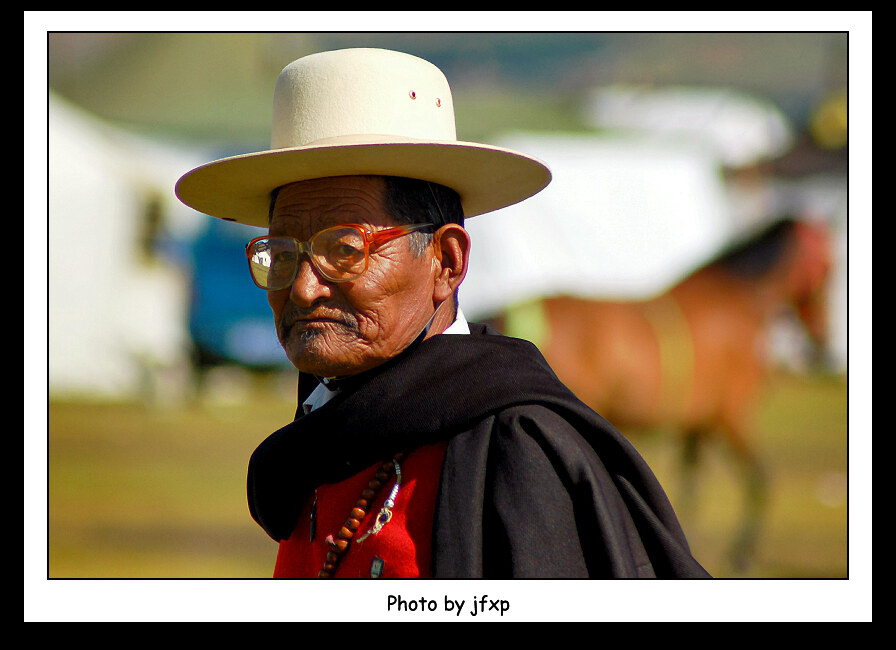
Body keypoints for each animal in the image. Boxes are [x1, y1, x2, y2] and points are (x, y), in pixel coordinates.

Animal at [490, 216, 832, 568]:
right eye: (828, 266)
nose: (822, 341)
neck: (733, 303)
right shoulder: (731, 416)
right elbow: (759, 479)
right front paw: (742, 551)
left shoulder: (696, 423)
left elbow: (691, 486)